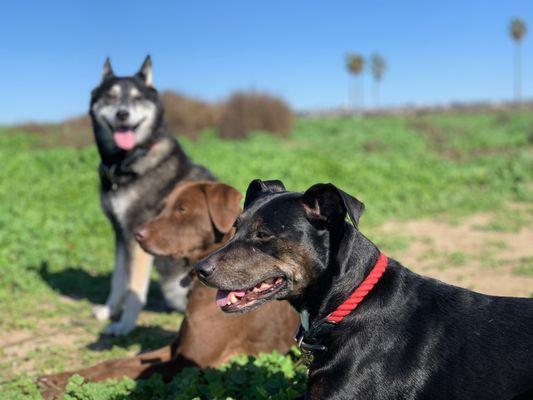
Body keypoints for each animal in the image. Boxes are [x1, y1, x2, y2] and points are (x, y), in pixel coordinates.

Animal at [40, 183, 300, 398]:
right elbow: (114, 363)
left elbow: (124, 370)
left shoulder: (191, 363)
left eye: (183, 209)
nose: (137, 235)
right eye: (164, 207)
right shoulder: (176, 349)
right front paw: (58, 379)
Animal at [90, 56, 214, 336]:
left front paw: (124, 325)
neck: (128, 161)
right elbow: (118, 279)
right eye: (110, 96)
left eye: (137, 98)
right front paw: (108, 311)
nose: (122, 114)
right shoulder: (120, 232)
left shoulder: (136, 235)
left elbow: (134, 288)